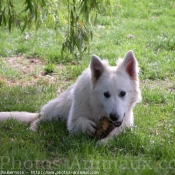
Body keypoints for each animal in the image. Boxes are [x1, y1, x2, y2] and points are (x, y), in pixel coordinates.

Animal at [0, 50, 141, 144]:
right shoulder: (72, 123)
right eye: (106, 94)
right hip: (59, 108)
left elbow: (117, 132)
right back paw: (33, 129)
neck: (100, 109)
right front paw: (86, 125)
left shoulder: (126, 123)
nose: (114, 116)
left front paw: (104, 142)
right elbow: (79, 121)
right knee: (39, 118)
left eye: (122, 93)